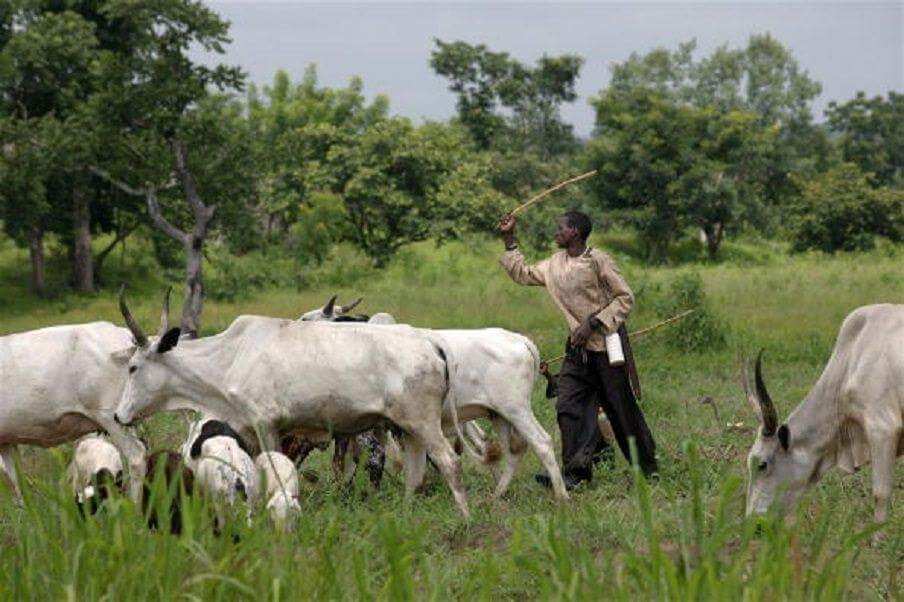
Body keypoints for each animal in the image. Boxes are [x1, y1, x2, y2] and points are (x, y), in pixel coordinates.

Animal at [113, 290, 474, 516]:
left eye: (133, 367)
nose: (118, 415)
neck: (230, 356)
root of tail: (431, 341)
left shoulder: (267, 425)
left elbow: (274, 470)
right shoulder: (249, 431)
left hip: (422, 422)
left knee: (450, 462)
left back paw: (465, 517)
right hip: (408, 428)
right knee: (415, 473)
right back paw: (405, 514)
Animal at [300, 294, 568, 496]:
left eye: (306, 319)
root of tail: (521, 340)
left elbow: (378, 461)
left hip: (516, 409)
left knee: (542, 443)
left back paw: (561, 497)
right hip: (498, 415)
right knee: (507, 450)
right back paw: (496, 495)